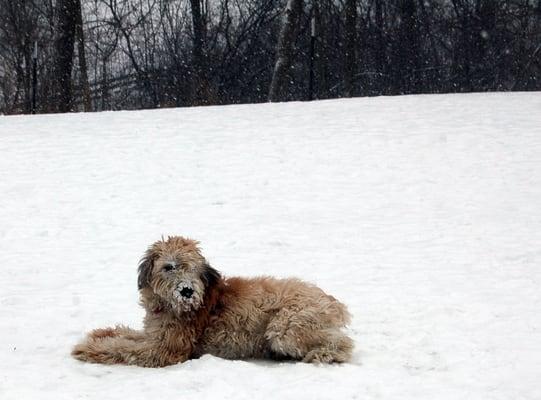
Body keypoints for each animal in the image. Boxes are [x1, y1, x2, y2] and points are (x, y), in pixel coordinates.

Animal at [71, 236, 352, 368]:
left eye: (194, 269)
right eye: (169, 267)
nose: (186, 290)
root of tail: (334, 303)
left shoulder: (165, 350)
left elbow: (123, 349)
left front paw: (87, 349)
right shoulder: (154, 334)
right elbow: (128, 335)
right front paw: (102, 333)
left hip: (285, 327)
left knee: (344, 343)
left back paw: (323, 354)